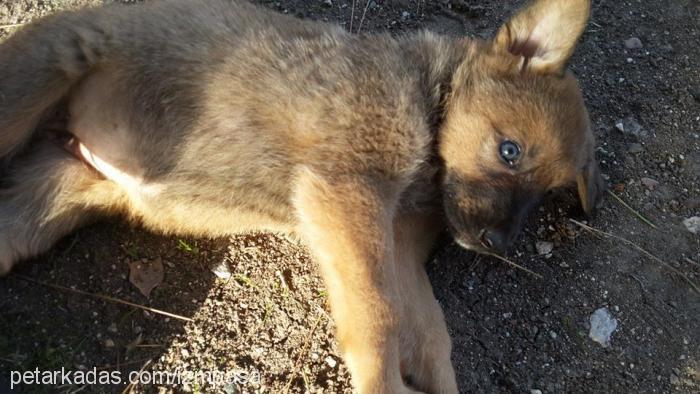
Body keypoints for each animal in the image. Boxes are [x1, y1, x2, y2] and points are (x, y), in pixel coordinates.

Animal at [0, 0, 600, 390]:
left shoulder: (400, 251)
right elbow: (379, 321)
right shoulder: (349, 193)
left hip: (39, 206)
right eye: (509, 151)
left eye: (548, 193)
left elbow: (431, 337)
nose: (498, 244)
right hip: (47, 72)